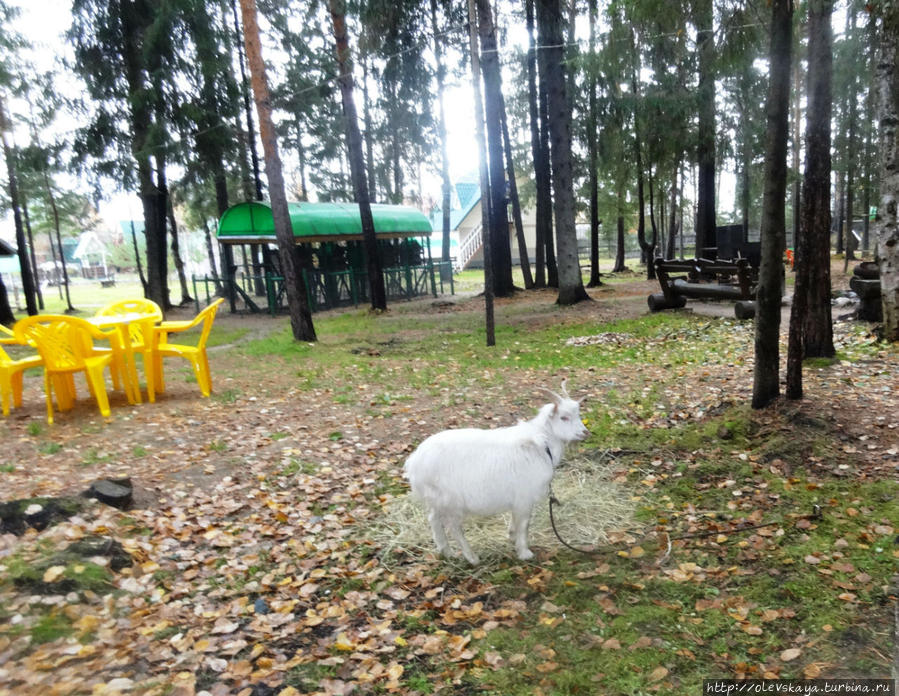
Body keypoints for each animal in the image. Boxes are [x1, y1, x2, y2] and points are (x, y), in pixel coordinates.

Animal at [402, 380, 588, 564]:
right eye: (564, 417)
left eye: (578, 414)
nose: (585, 432)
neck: (543, 444)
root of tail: (414, 461)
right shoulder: (524, 497)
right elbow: (524, 525)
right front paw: (524, 552)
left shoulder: (518, 499)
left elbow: (515, 521)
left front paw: (511, 536)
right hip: (451, 500)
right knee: (453, 527)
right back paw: (471, 557)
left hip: (436, 498)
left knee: (434, 519)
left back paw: (446, 552)